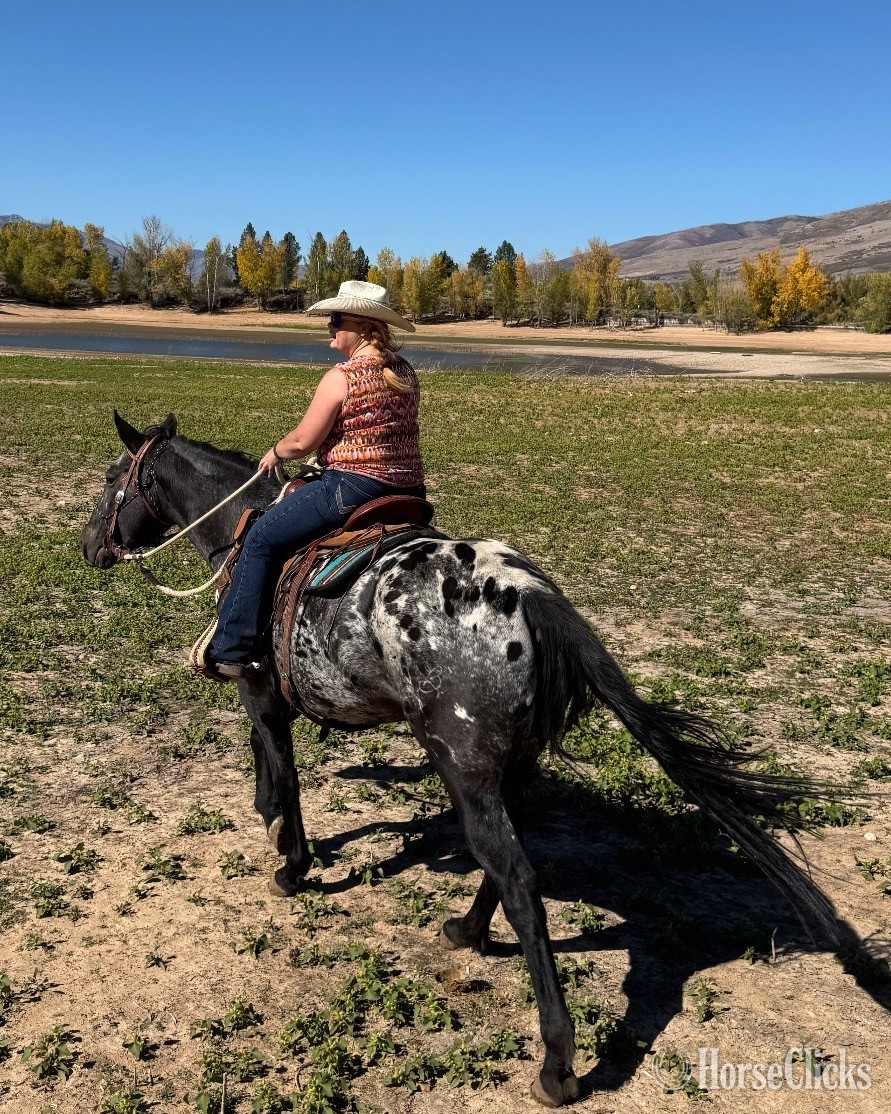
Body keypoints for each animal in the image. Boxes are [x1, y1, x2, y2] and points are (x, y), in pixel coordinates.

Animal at [80, 411, 841, 1107]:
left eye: (113, 480)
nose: (89, 546)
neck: (245, 533)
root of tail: (532, 595)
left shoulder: (258, 689)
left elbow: (285, 772)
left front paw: (291, 865)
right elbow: (271, 768)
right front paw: (269, 820)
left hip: (463, 762)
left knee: (514, 873)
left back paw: (556, 1064)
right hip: (513, 764)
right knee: (509, 861)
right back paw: (467, 933)